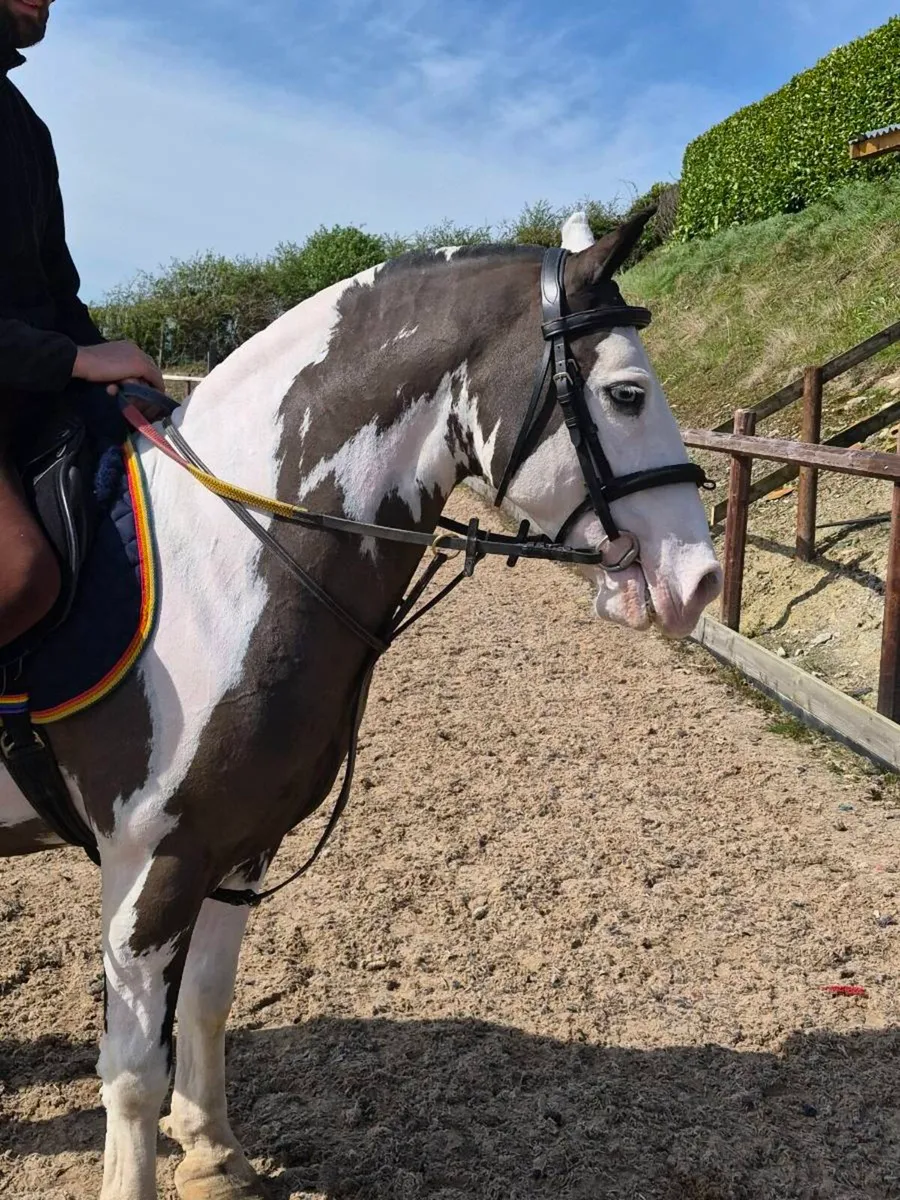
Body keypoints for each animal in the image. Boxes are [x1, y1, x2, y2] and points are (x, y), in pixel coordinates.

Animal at [0, 211, 721, 1199]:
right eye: (625, 395)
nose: (701, 581)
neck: (222, 561)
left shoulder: (237, 843)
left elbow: (208, 1002)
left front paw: (215, 1154)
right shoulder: (151, 861)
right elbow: (133, 1072)